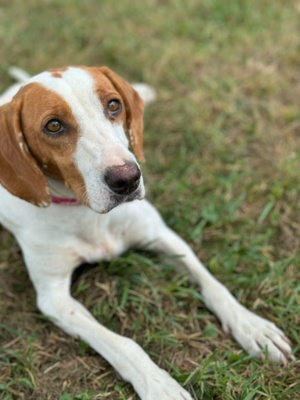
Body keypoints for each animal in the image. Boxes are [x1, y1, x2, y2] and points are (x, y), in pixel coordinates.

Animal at [0, 66, 294, 400]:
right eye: (53, 126)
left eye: (114, 105)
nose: (127, 179)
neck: (85, 212)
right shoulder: (54, 298)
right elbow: (122, 345)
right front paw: (158, 383)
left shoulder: (163, 237)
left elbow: (213, 285)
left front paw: (252, 326)